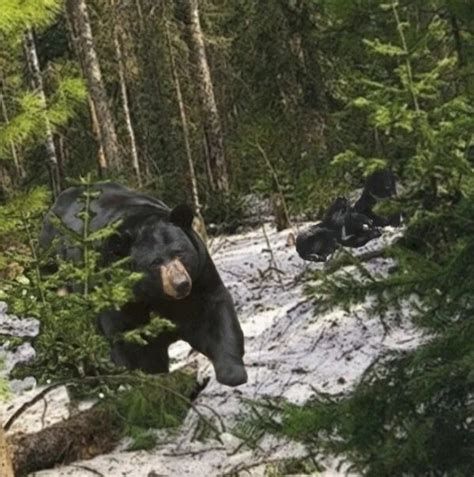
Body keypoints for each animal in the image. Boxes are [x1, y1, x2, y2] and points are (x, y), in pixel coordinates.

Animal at [39, 182, 248, 386]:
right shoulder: (116, 294)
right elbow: (130, 343)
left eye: (179, 253)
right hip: (57, 285)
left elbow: (213, 313)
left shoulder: (199, 277)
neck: (155, 295)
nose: (180, 284)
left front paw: (232, 372)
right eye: (154, 263)